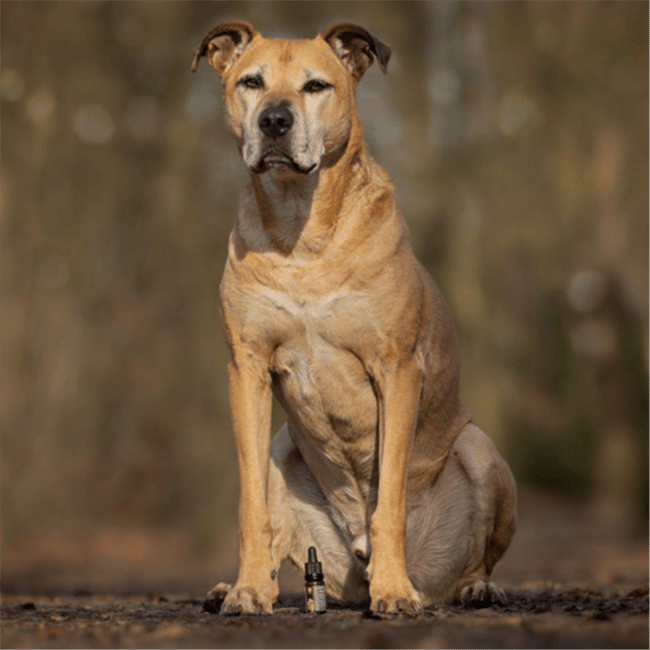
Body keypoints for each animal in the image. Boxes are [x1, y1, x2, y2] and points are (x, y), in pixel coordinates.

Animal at [192, 20, 516, 616]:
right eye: (251, 81)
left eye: (316, 85)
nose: (274, 120)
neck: (301, 236)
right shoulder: (246, 368)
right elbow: (252, 506)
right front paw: (248, 590)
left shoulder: (397, 368)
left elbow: (389, 499)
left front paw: (394, 592)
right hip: (281, 445)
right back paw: (240, 586)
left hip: (481, 450)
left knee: (475, 558)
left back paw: (471, 587)